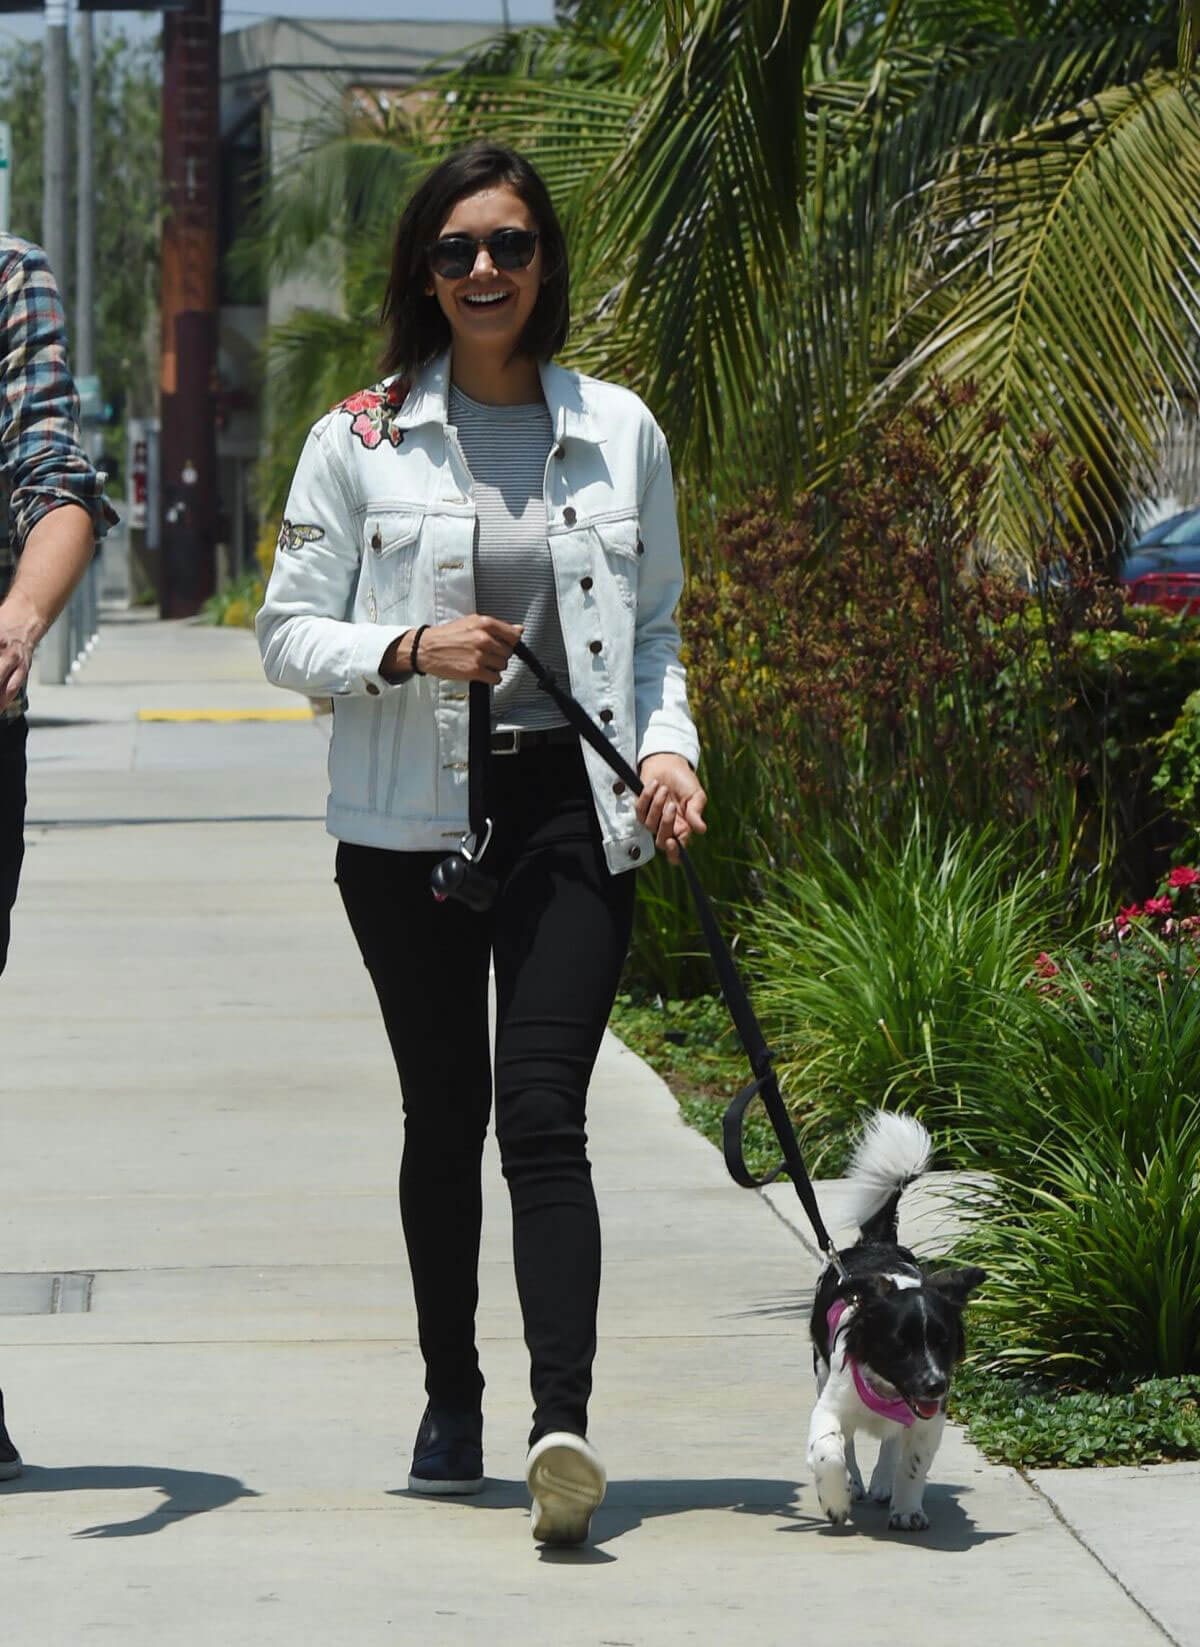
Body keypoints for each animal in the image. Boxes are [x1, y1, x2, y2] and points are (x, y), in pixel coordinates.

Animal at [806, 1106, 981, 1528]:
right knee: (851, 1443)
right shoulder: (829, 1407)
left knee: (890, 1441)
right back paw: (855, 1483)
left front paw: (906, 1509)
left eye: (944, 1343)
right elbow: (830, 1451)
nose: (935, 1385)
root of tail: (878, 1242)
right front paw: (837, 1499)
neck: (885, 1390)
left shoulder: (929, 1419)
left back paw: (883, 1484)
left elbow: (912, 1462)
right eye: (899, 1345)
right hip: (821, 1373)